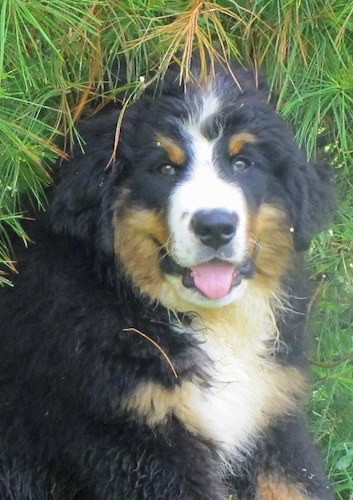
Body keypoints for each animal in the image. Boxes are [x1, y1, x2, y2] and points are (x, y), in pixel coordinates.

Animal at [0, 60, 334, 498]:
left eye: (242, 163)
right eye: (165, 168)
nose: (215, 227)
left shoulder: (273, 417)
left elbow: (301, 484)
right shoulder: (137, 442)